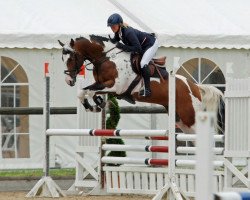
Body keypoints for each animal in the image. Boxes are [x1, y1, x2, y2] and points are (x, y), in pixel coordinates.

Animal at [58, 34, 225, 134]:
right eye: (62, 59)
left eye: (71, 58)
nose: (69, 81)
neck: (107, 58)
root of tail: (195, 87)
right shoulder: (103, 85)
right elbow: (83, 92)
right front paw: (95, 105)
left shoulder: (115, 86)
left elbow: (89, 91)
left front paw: (95, 104)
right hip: (181, 120)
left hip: (190, 117)